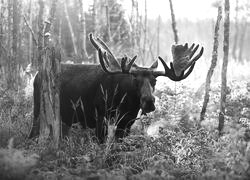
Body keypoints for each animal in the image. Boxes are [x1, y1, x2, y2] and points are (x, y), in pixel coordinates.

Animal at [29, 33, 204, 143]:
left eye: (155, 81)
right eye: (135, 80)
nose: (149, 102)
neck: (127, 103)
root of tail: (37, 75)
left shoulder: (127, 121)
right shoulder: (100, 115)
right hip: (38, 109)